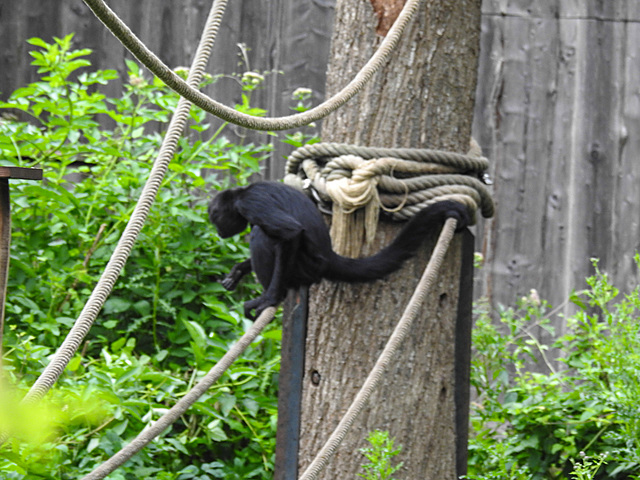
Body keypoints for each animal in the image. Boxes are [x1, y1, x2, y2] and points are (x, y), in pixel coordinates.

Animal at [210, 182, 470, 320]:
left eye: (214, 218)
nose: (217, 230)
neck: (243, 192)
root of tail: (328, 258)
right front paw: (238, 271)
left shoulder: (252, 202)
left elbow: (291, 233)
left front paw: (270, 298)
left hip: (303, 267)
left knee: (261, 234)